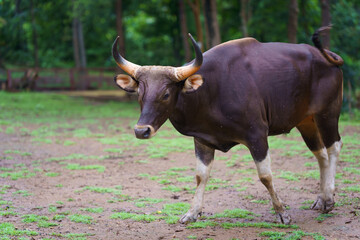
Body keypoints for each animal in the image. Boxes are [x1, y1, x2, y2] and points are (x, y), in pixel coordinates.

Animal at [112, 27, 344, 224]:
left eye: (166, 94)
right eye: (140, 94)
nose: (141, 130)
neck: (209, 91)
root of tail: (328, 56)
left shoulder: (257, 135)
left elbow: (265, 175)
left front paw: (281, 213)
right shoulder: (202, 139)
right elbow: (201, 175)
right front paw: (192, 212)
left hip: (328, 114)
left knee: (333, 147)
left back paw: (330, 199)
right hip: (306, 121)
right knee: (321, 154)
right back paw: (322, 198)